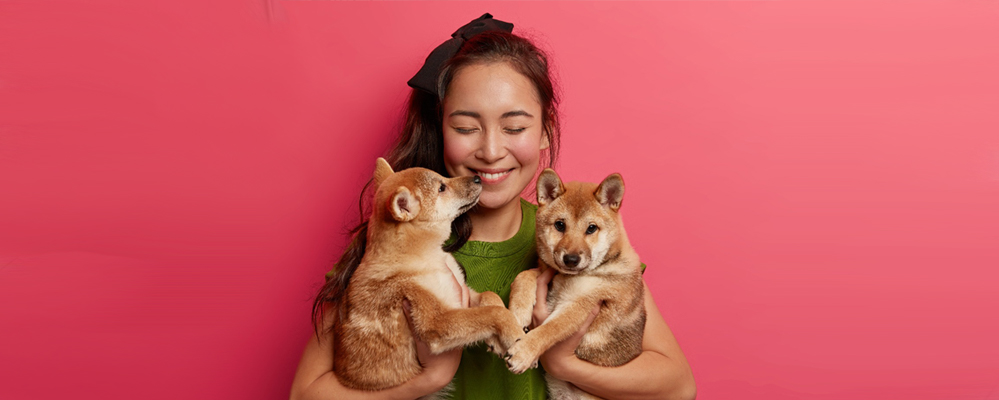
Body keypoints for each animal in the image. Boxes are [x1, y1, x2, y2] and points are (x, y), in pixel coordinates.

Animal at [334, 159, 528, 396]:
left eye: (443, 180)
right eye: (442, 188)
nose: (477, 178)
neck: (429, 257)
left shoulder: (461, 293)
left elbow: (490, 299)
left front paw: (498, 336)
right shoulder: (437, 321)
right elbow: (493, 313)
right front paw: (515, 335)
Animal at [508, 169, 648, 400]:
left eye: (591, 228)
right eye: (560, 225)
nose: (571, 259)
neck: (566, 277)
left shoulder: (580, 304)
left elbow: (550, 329)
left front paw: (524, 352)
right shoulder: (547, 271)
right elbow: (524, 275)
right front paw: (518, 312)